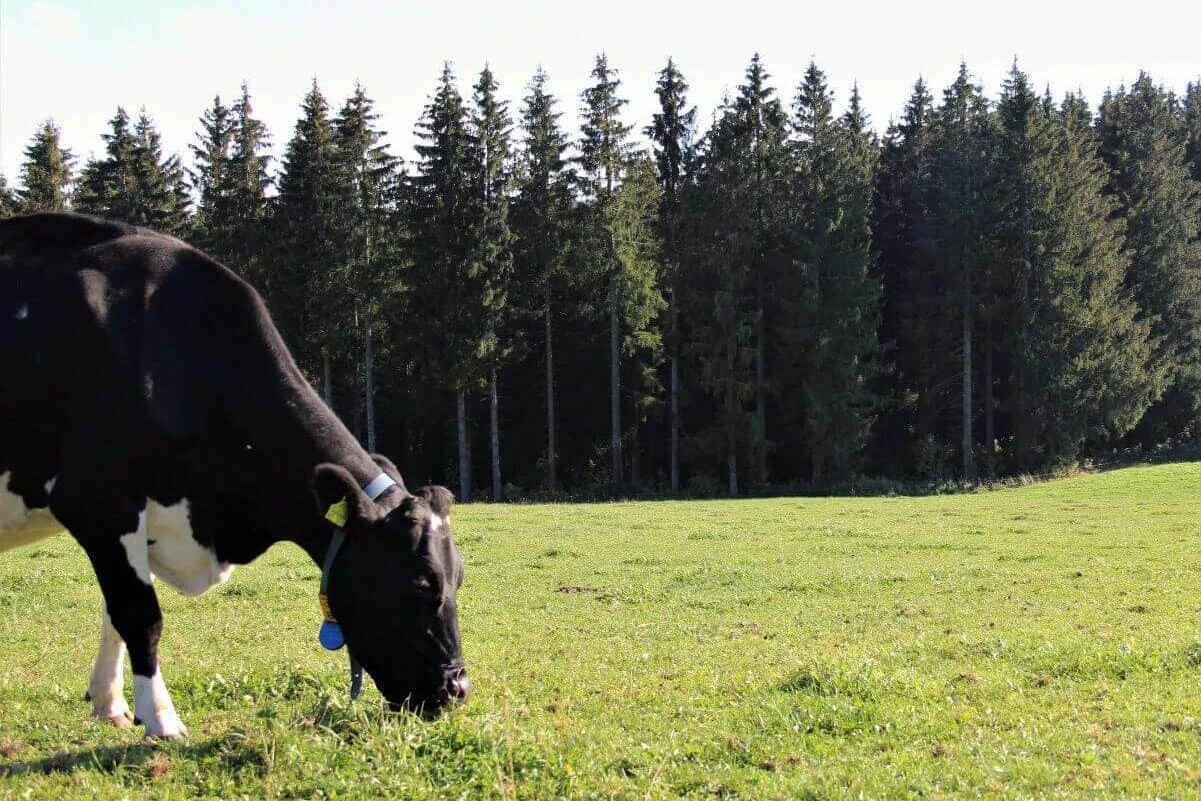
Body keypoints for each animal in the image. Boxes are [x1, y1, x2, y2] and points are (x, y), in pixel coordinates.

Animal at [0, 211, 468, 739]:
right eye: (421, 584)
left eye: (459, 577)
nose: (458, 689)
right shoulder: (98, 501)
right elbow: (139, 614)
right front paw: (161, 719)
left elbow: (113, 615)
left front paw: (110, 702)